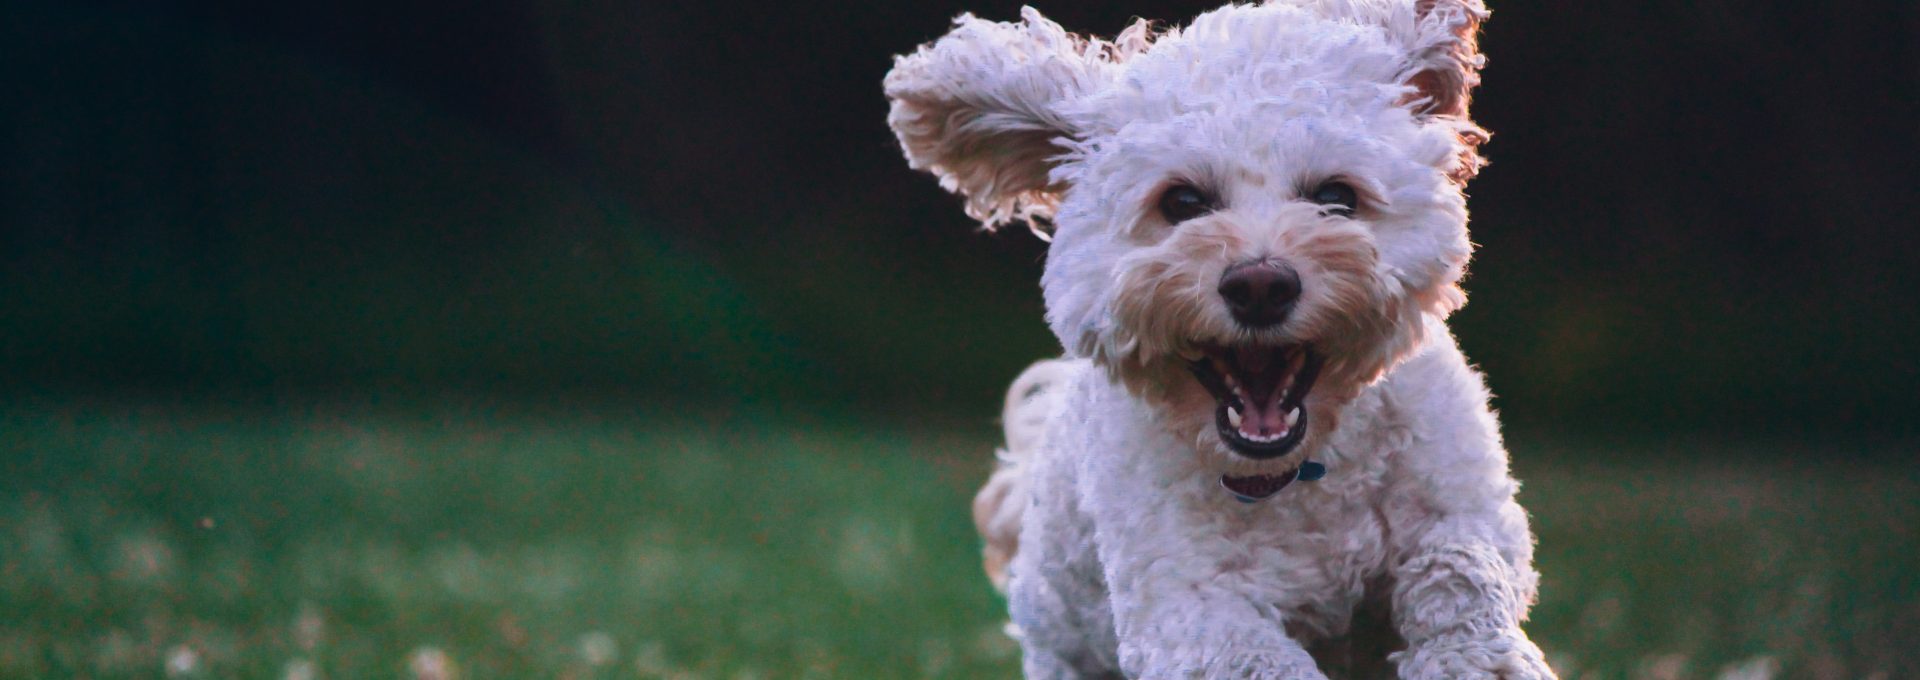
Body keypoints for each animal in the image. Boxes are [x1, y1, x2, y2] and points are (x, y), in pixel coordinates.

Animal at [890, 2, 1551, 676]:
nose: (1260, 285)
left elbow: (1461, 567)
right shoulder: (1186, 605)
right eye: (1182, 200)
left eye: (1336, 196)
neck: (1295, 473)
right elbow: (1258, 655)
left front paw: (1476, 655)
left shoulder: (1465, 501)